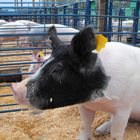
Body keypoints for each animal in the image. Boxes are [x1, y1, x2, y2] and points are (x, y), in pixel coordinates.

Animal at [12, 26, 140, 140]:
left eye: (57, 70)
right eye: (44, 63)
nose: (14, 86)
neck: (98, 100)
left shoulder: (124, 108)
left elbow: (116, 134)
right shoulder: (85, 106)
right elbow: (84, 126)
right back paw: (99, 131)